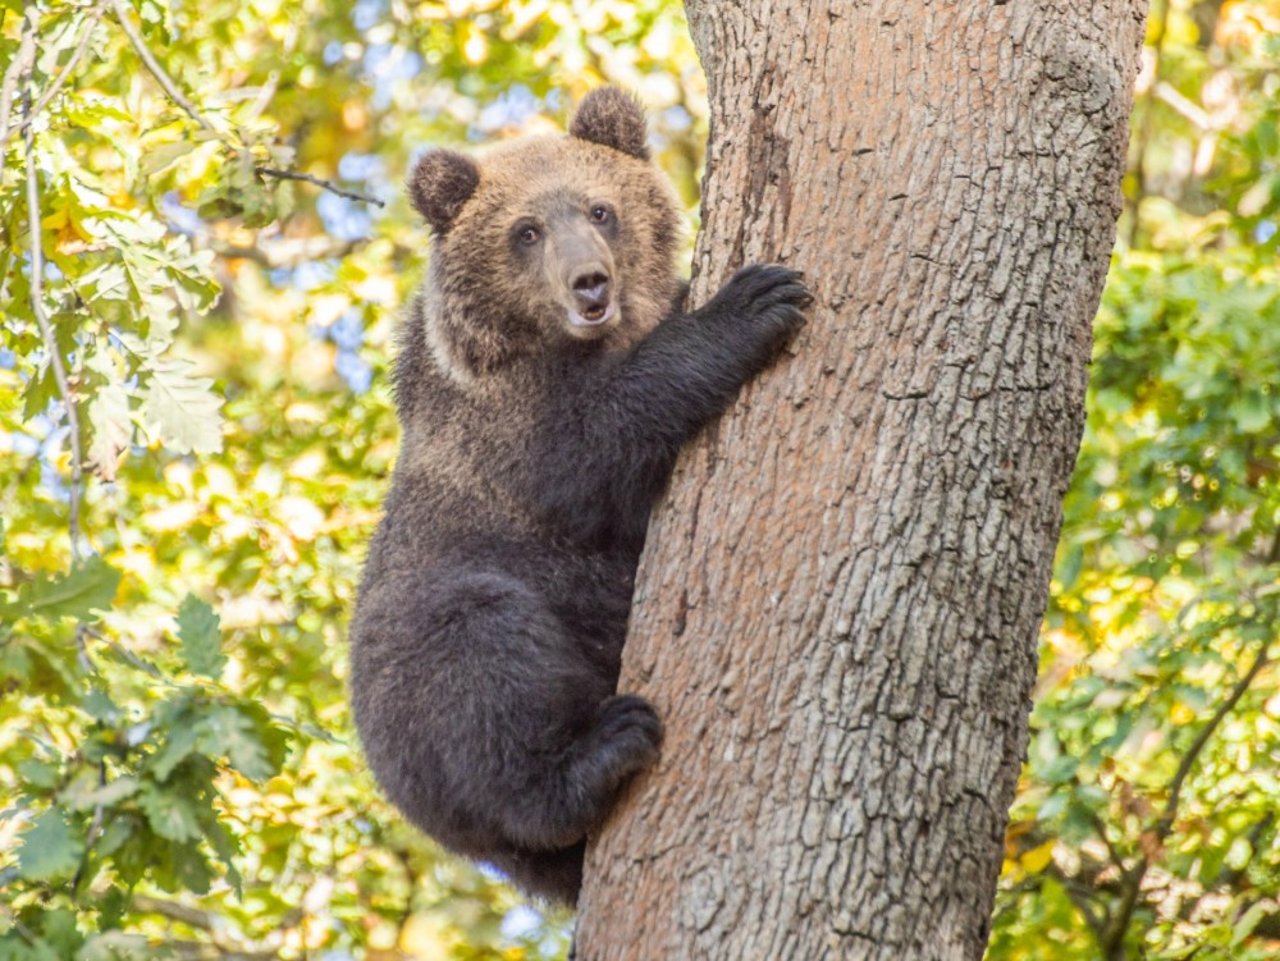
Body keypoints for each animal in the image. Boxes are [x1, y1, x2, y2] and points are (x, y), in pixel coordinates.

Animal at [350, 86, 808, 905]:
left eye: (601, 209)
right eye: (525, 232)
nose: (589, 282)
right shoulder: (508, 431)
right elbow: (596, 448)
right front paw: (754, 300)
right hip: (417, 669)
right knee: (479, 659)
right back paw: (598, 751)